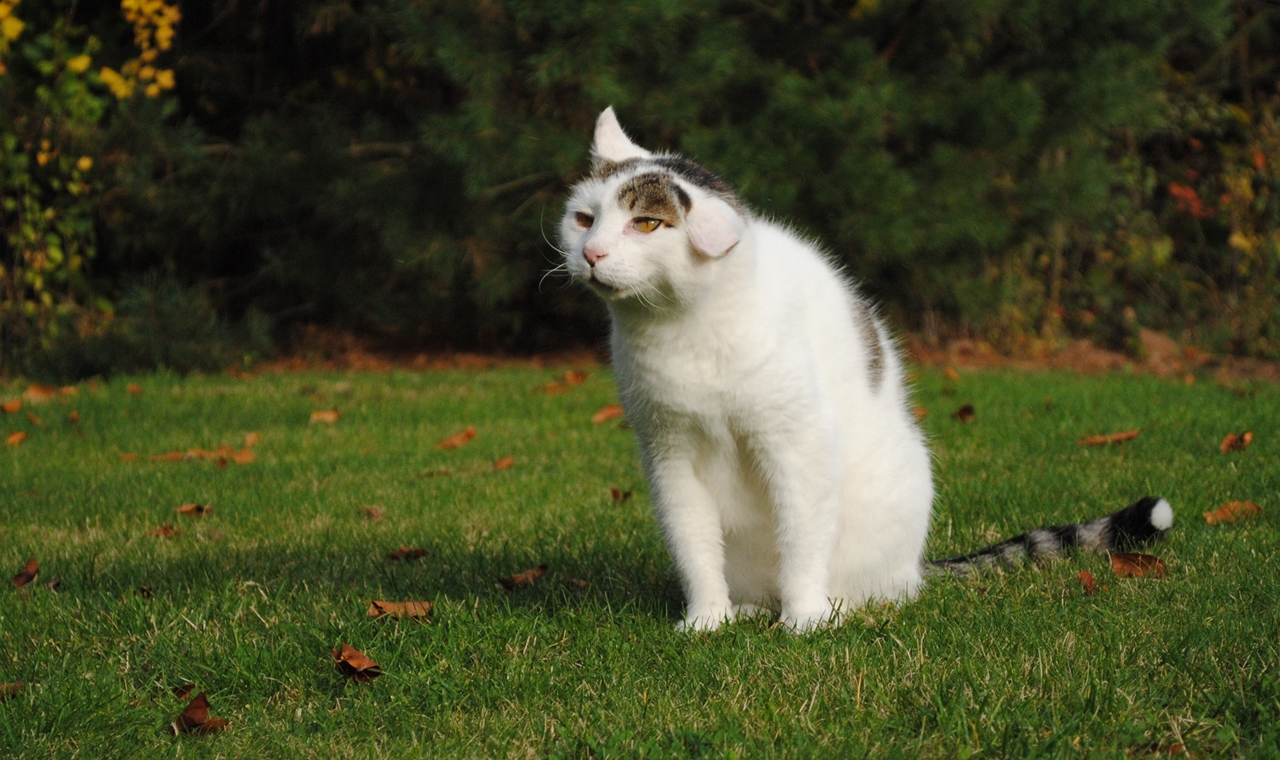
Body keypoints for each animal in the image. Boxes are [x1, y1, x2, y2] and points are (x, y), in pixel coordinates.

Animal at [555, 104, 1172, 626]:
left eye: (647, 225)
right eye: (584, 219)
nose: (591, 254)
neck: (681, 332)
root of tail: (917, 567)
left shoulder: (798, 443)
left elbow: (802, 540)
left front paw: (804, 621)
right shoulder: (670, 453)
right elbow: (694, 546)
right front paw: (707, 620)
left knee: (881, 587)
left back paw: (838, 611)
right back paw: (746, 612)